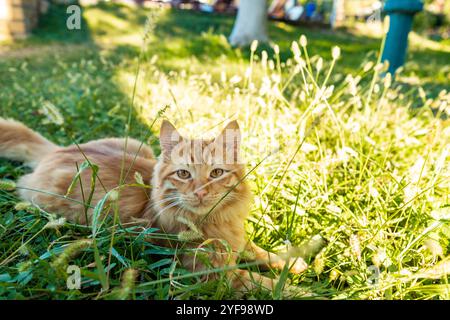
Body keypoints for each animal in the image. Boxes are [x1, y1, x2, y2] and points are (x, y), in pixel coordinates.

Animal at [0, 117, 306, 292]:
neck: (214, 221)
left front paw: (294, 260)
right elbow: (267, 284)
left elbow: (261, 251)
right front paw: (302, 290)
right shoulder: (212, 274)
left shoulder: (237, 241)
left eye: (216, 173)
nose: (200, 193)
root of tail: (57, 150)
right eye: (184, 174)